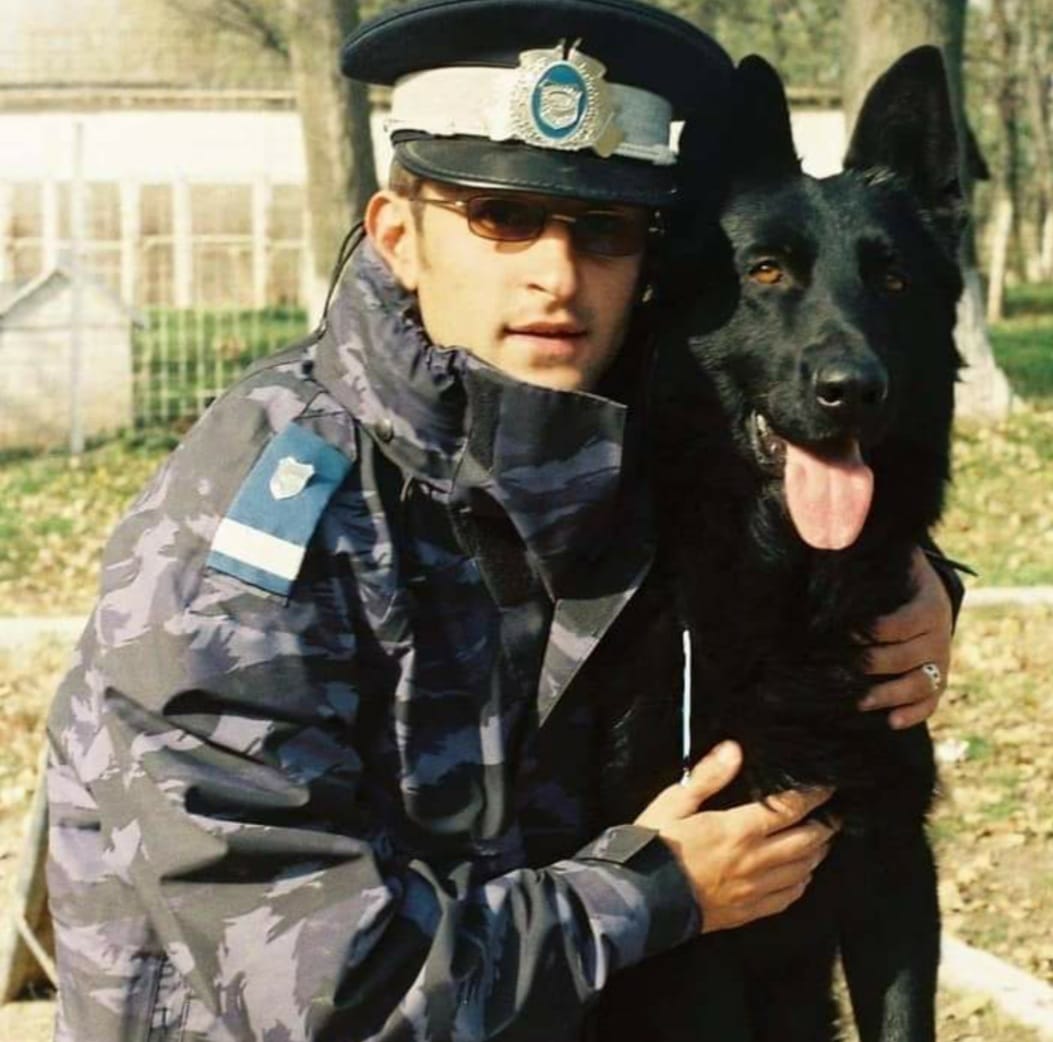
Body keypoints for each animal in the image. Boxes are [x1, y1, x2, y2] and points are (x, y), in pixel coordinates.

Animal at [588, 47, 964, 1042]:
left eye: (894, 282)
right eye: (764, 272)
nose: (852, 390)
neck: (788, 593)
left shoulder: (893, 869)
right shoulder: (700, 930)